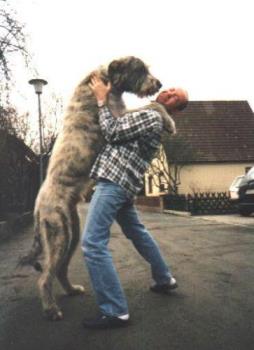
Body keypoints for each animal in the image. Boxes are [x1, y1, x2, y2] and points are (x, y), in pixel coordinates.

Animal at [19, 56, 176, 322]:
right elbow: (152, 107)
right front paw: (169, 120)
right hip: (58, 234)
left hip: (71, 232)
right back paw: (51, 310)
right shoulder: (118, 116)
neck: (106, 80)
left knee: (60, 270)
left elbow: (150, 106)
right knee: (45, 277)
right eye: (140, 69)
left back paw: (71, 290)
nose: (159, 84)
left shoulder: (120, 113)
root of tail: (38, 206)